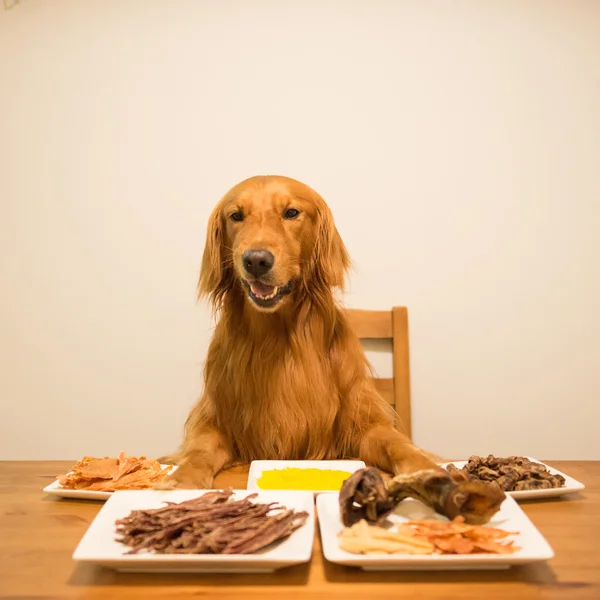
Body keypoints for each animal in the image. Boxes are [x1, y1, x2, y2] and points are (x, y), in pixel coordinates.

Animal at [162, 176, 442, 490]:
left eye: (291, 213)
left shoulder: (365, 424)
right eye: (236, 216)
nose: (256, 260)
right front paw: (181, 479)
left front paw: (427, 468)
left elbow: (397, 443)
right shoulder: (217, 422)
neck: (277, 335)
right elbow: (199, 449)